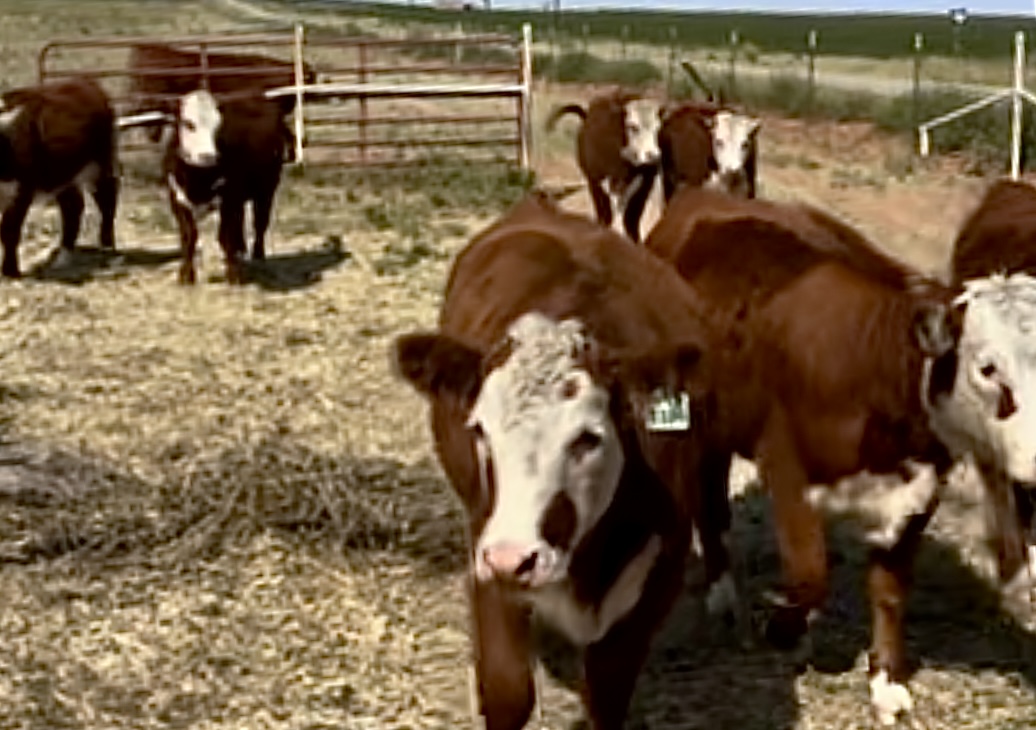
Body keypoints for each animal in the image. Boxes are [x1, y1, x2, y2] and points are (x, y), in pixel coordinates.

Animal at [0, 75, 118, 277]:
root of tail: (86, 83)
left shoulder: (20, 190)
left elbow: (9, 231)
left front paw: (10, 270)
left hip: (99, 161)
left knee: (107, 196)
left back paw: (107, 244)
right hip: (63, 174)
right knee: (73, 206)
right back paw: (64, 254)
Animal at [165, 89, 288, 285]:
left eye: (218, 126)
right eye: (188, 123)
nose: (208, 156)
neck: (197, 179)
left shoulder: (229, 198)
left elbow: (225, 236)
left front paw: (233, 275)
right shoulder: (177, 198)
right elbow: (189, 236)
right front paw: (186, 275)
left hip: (267, 188)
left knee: (260, 223)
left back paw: (257, 255)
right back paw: (240, 251)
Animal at [391, 192, 750, 728]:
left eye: (587, 438)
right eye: (479, 431)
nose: (514, 557)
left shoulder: (655, 579)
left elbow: (606, 695)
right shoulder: (485, 553)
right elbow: (507, 690)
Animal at [547, 90, 658, 242]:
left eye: (657, 128)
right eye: (632, 126)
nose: (652, 156)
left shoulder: (644, 186)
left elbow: (632, 219)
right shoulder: (607, 182)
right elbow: (612, 212)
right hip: (593, 182)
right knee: (602, 211)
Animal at [642, 186, 1036, 724]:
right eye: (988, 367)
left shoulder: (918, 493)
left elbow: (889, 591)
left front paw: (886, 681)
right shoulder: (787, 471)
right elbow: (810, 576)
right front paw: (785, 633)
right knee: (709, 503)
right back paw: (723, 595)